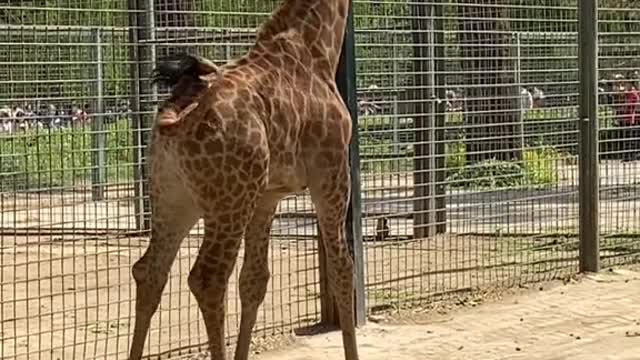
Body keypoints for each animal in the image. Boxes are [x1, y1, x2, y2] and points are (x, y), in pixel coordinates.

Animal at [129, 0, 360, 360]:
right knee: (207, 278)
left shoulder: (269, 195)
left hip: (174, 199)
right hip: (229, 202)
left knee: (149, 272)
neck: (316, 47)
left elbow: (254, 280)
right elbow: (343, 269)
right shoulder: (332, 173)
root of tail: (174, 121)